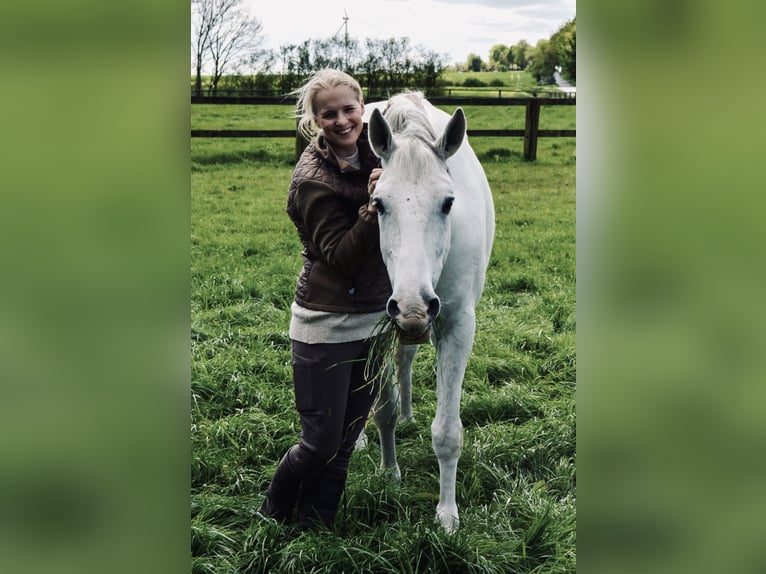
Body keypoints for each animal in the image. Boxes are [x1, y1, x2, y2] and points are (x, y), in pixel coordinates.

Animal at [364, 93, 498, 532]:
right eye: (378, 203)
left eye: (448, 202)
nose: (412, 306)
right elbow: (382, 409)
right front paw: (389, 473)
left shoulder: (456, 325)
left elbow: (447, 434)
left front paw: (447, 514)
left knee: (405, 356)